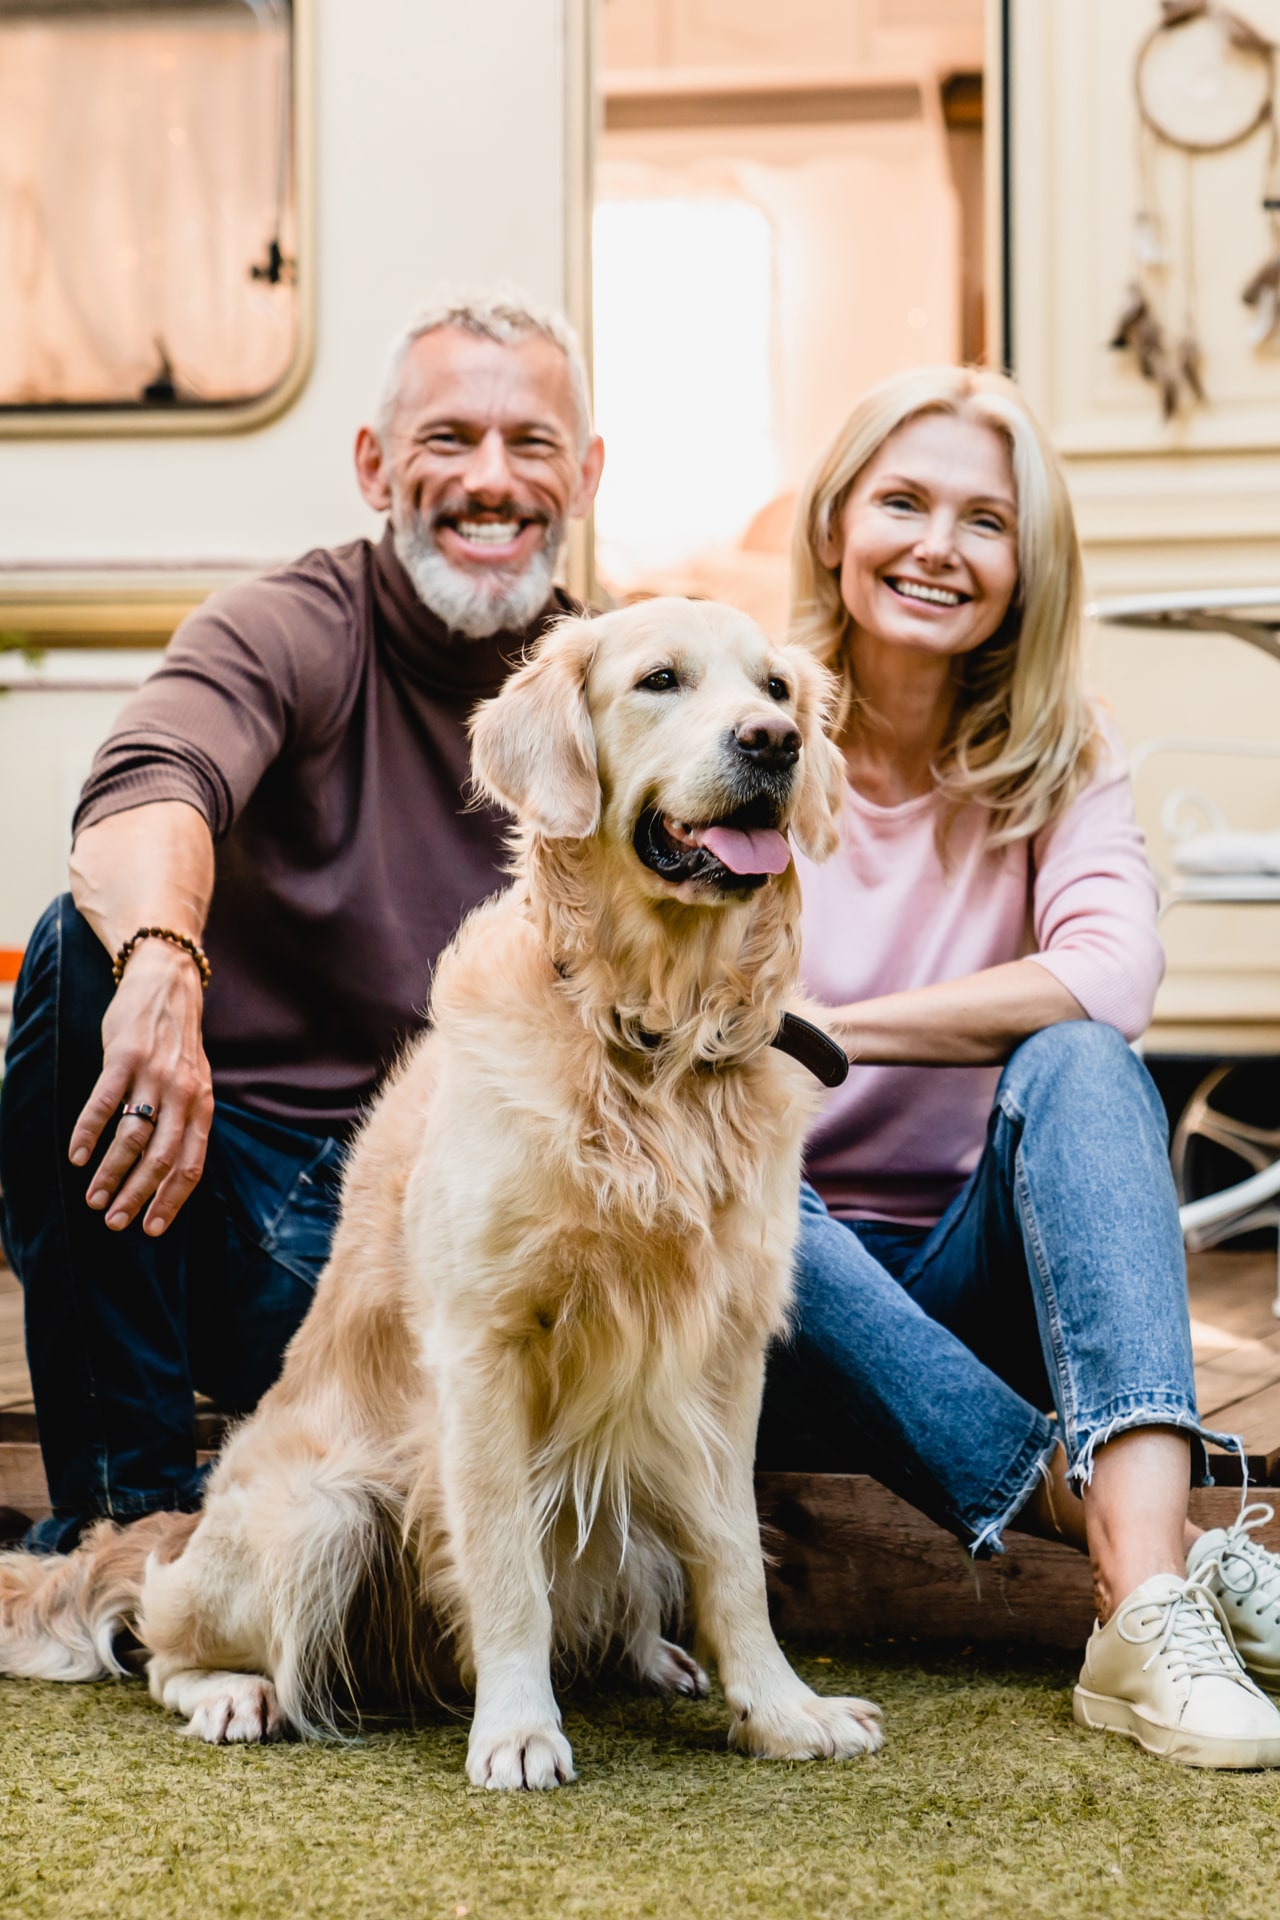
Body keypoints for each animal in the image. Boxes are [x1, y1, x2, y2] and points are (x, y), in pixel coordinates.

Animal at [0, 599, 882, 1781]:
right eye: (660, 680)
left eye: (779, 691)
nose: (774, 745)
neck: (647, 1036)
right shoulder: (482, 1343)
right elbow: (505, 1559)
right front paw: (517, 1729)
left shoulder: (726, 1350)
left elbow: (734, 1555)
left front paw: (782, 1710)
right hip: (321, 1516)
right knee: (167, 1638)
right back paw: (234, 1693)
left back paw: (655, 1660)